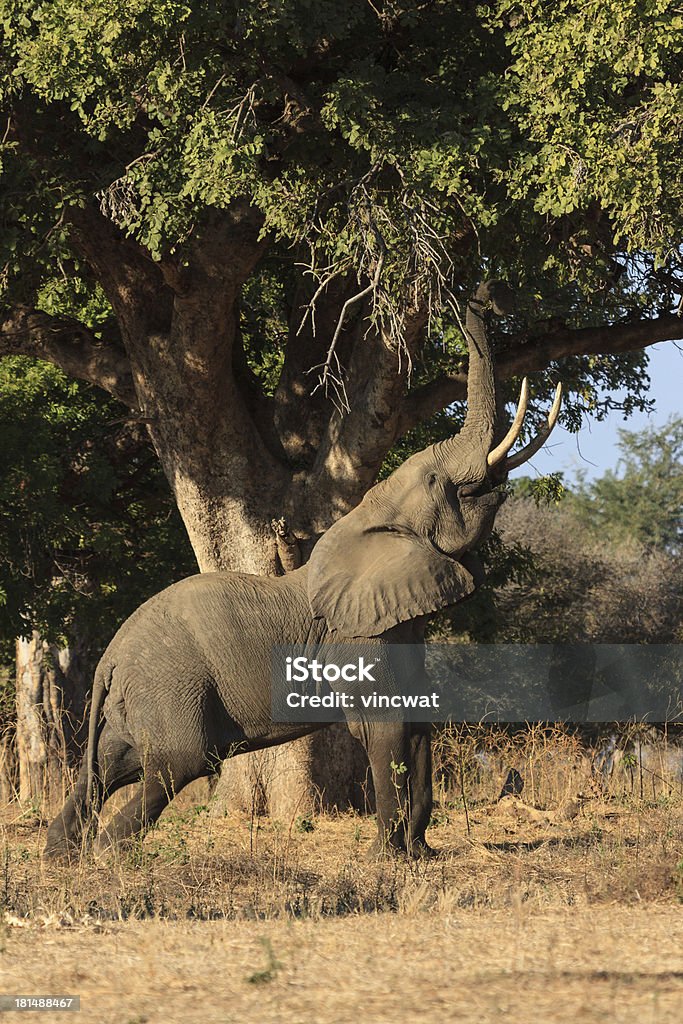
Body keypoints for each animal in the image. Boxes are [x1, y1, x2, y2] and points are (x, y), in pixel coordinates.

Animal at [42, 278, 561, 856]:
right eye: (435, 482)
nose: (484, 293)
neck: (367, 518)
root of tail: (108, 660)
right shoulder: (357, 636)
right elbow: (385, 729)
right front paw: (388, 859)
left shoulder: (396, 623)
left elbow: (417, 722)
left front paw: (420, 855)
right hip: (170, 686)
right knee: (173, 766)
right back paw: (107, 856)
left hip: (136, 699)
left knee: (107, 768)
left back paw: (61, 857)